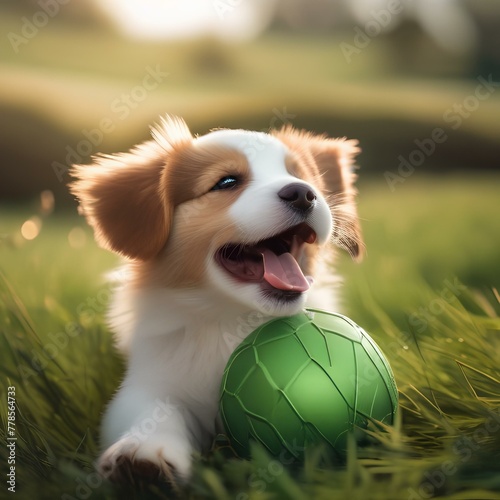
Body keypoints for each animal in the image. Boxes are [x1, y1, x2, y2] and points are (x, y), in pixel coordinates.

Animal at [69, 115, 364, 482]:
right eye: (226, 182)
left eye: (303, 178)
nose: (303, 193)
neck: (234, 318)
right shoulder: (150, 382)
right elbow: (154, 411)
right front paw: (143, 454)